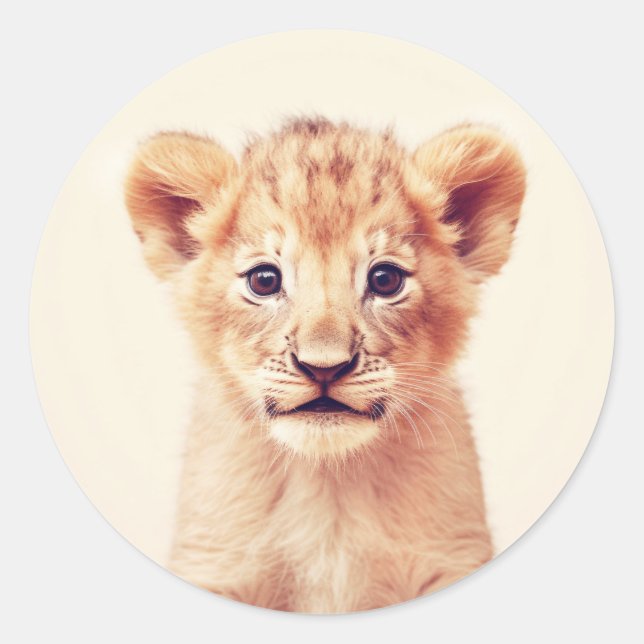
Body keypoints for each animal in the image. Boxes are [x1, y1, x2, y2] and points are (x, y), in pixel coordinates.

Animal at [124, 117, 526, 613]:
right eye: (264, 280)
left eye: (386, 279)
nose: (324, 368)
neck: (327, 481)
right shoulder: (212, 562)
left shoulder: (451, 556)